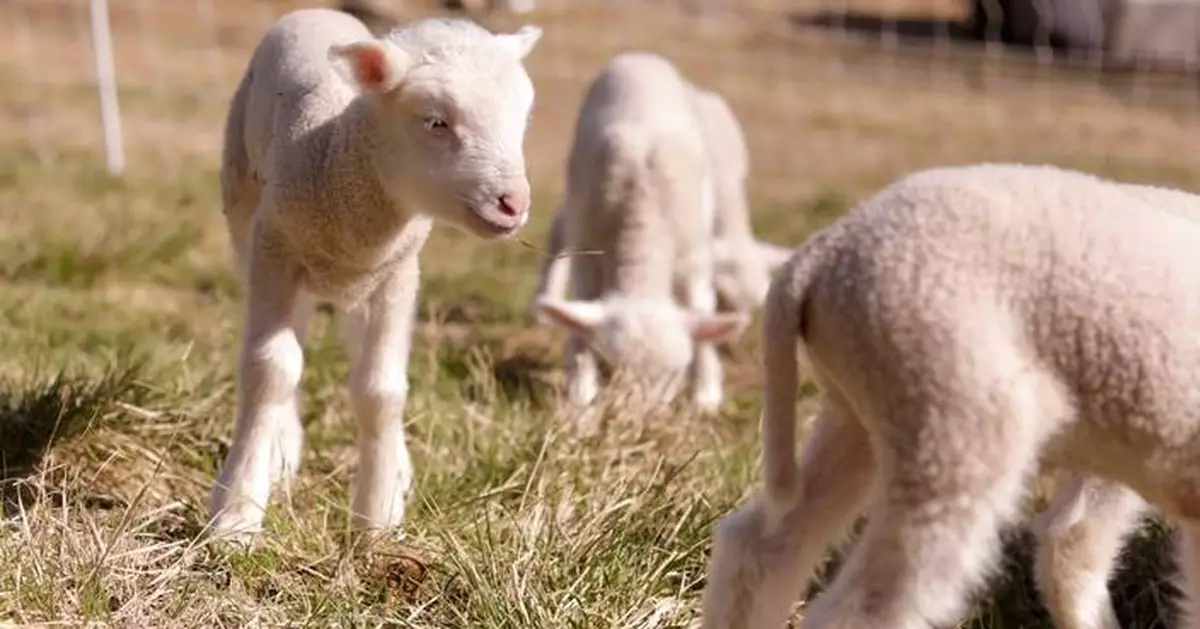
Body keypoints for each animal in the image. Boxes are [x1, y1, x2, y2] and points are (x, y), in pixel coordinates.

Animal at [209, 8, 542, 540]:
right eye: (436, 121)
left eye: (522, 119)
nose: (513, 203)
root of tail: (317, 11)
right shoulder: (274, 253)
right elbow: (270, 371)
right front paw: (236, 513)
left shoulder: (397, 277)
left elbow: (381, 389)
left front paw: (377, 516)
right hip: (248, 220)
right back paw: (281, 449)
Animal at [526, 52, 749, 414]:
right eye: (609, 367)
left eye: (674, 375)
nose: (635, 421)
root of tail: (639, 57)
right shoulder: (587, 244)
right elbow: (581, 316)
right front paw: (581, 391)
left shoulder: (694, 253)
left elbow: (702, 310)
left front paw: (706, 393)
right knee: (560, 227)